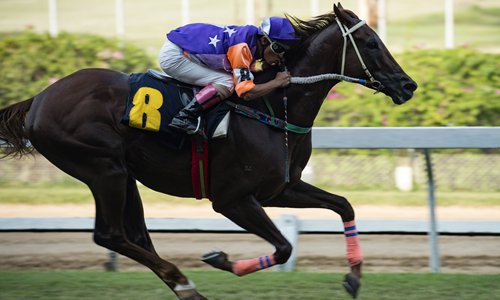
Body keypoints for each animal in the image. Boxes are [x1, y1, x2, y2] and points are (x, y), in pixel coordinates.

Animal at [0, 2, 414, 300]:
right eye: (372, 43)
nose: (408, 85)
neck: (271, 109)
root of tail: (39, 98)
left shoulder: (280, 188)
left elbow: (344, 205)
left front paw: (354, 277)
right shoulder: (232, 199)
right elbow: (283, 248)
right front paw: (221, 259)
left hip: (123, 174)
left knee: (137, 236)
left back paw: (184, 287)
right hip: (103, 169)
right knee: (111, 235)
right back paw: (183, 281)